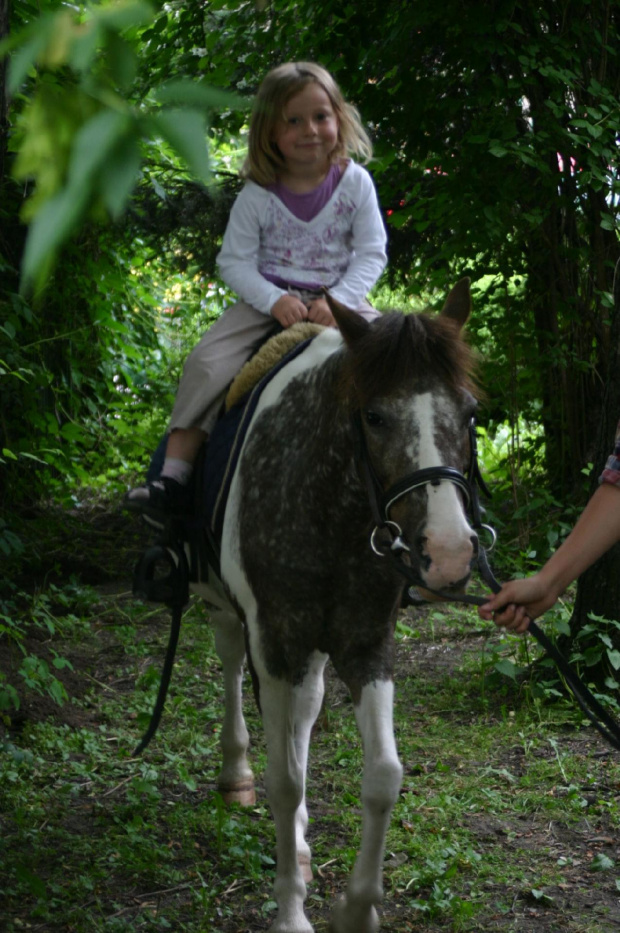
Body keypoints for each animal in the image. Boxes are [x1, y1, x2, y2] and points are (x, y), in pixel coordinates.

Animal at [194, 278, 480, 932]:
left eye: (470, 413)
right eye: (374, 416)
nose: (450, 554)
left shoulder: (365, 645)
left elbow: (383, 776)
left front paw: (357, 908)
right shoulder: (276, 643)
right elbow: (285, 781)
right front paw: (290, 914)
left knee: (304, 714)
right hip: (229, 614)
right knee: (232, 667)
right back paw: (236, 774)